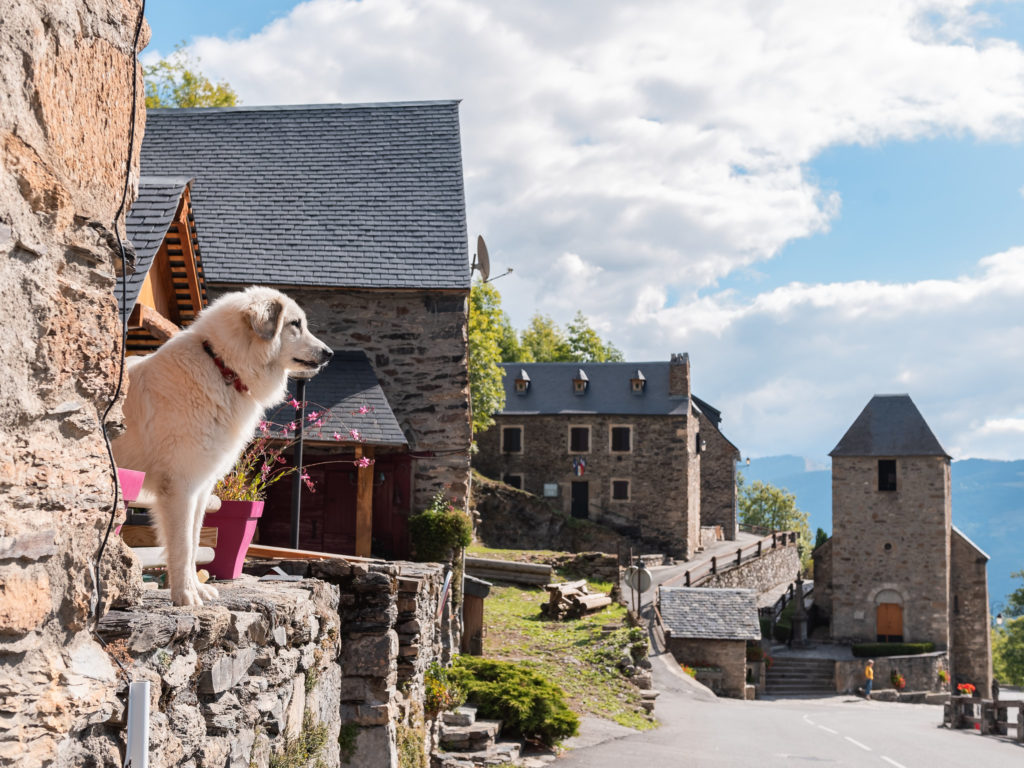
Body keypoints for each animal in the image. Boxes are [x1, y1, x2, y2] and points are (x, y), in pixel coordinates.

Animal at [115, 286, 331, 606]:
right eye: (295, 324)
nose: (330, 353)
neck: (222, 367)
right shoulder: (181, 486)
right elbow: (182, 546)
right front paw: (185, 595)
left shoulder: (200, 488)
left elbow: (194, 542)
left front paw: (196, 588)